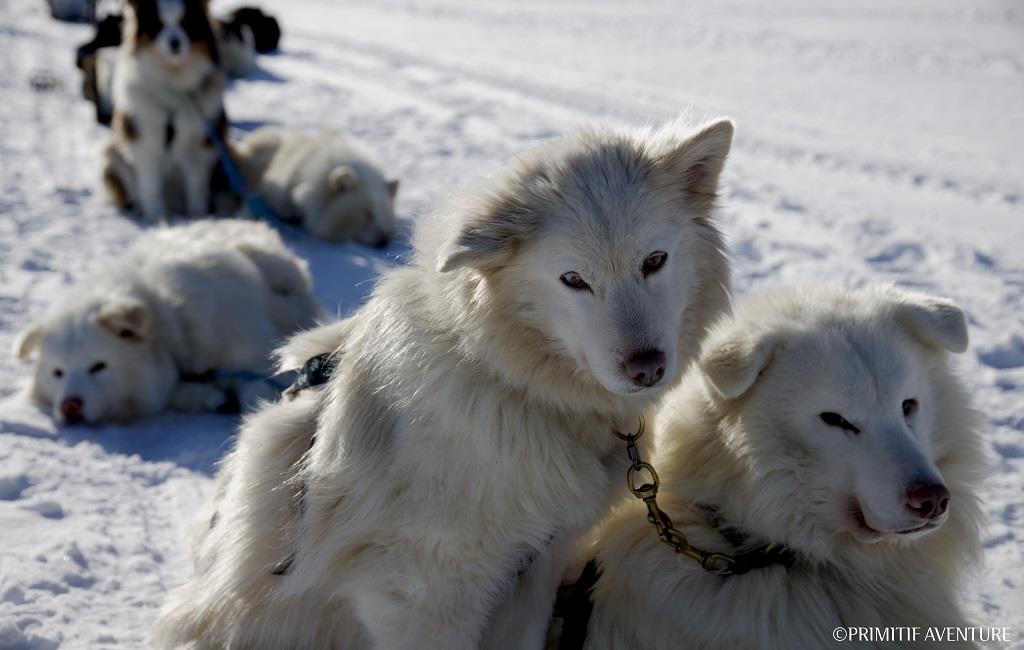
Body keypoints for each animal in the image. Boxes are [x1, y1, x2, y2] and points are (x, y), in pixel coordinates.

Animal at [12, 221, 319, 423]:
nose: (69, 406)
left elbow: (254, 391)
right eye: (58, 372)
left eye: (98, 366)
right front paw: (206, 397)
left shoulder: (252, 356)